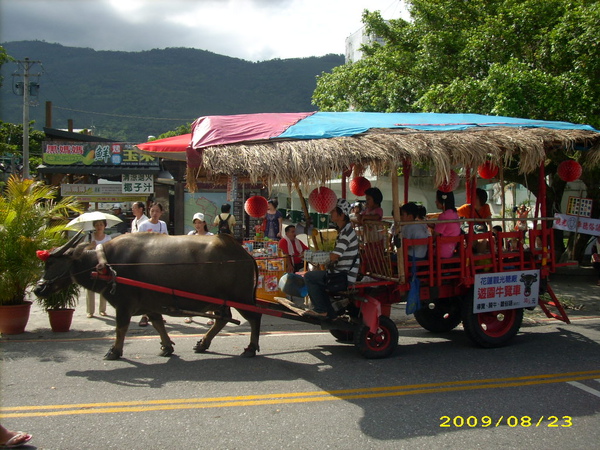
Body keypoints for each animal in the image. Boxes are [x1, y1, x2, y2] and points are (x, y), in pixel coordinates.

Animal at [35, 232, 260, 358]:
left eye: (51, 263)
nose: (38, 289)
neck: (105, 263)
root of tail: (244, 254)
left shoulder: (124, 304)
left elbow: (121, 328)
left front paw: (114, 352)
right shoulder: (150, 304)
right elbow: (158, 323)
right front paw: (167, 347)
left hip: (241, 297)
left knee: (254, 317)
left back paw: (250, 348)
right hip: (223, 300)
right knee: (223, 319)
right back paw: (203, 344)